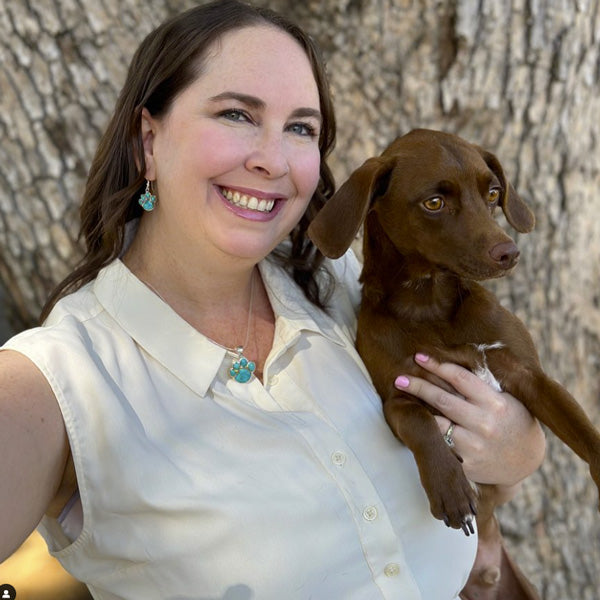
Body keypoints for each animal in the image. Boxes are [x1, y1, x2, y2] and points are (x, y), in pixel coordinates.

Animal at [310, 129, 600, 596]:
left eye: (494, 193)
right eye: (434, 202)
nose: (509, 253)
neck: (431, 305)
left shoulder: (529, 376)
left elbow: (583, 428)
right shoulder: (398, 393)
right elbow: (419, 423)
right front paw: (450, 487)